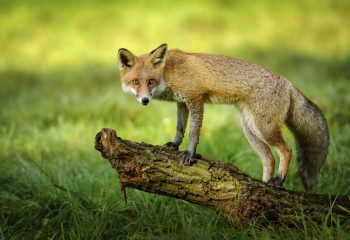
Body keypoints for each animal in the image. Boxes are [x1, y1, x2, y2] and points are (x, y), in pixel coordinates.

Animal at [117, 42, 328, 189]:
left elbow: (193, 132)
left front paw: (190, 153)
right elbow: (180, 128)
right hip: (250, 130)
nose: (145, 100)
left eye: (151, 81)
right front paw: (174, 145)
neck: (169, 72)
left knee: (287, 150)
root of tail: (289, 83)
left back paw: (278, 180)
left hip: (264, 128)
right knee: (269, 159)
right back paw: (262, 187)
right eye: (136, 82)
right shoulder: (182, 102)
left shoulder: (196, 99)